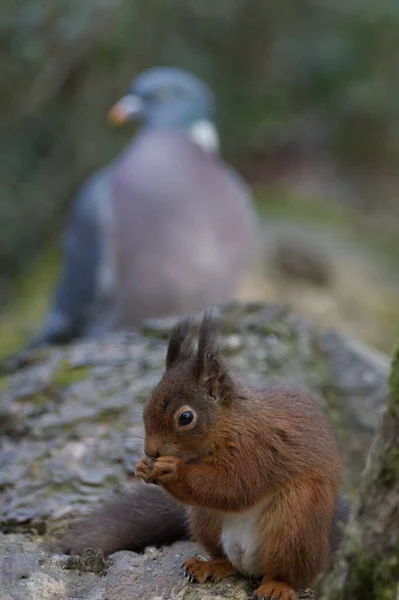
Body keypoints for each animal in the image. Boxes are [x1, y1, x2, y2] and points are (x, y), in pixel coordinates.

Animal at [57, 312, 348, 596]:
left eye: (186, 417)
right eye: (145, 409)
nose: (151, 451)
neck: (228, 424)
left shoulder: (258, 448)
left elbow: (235, 486)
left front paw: (174, 471)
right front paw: (142, 466)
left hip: (295, 523)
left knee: (288, 572)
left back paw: (277, 586)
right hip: (205, 520)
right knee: (227, 560)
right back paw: (208, 565)